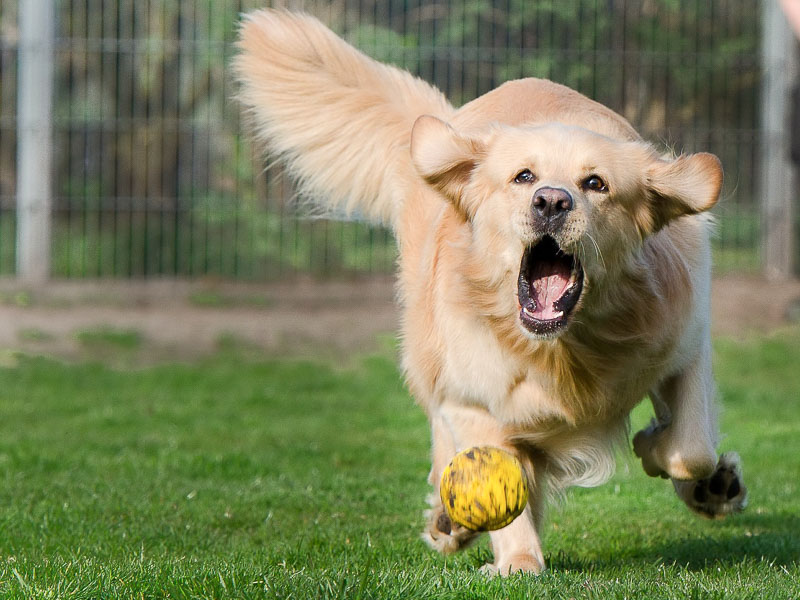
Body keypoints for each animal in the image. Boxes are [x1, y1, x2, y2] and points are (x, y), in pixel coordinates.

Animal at [234, 8, 748, 572]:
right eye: (523, 177)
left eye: (596, 184)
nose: (551, 201)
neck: (563, 351)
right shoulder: (472, 399)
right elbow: (501, 478)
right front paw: (518, 561)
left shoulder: (684, 344)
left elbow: (692, 447)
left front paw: (667, 454)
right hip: (429, 351)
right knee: (445, 435)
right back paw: (450, 520)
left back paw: (713, 487)